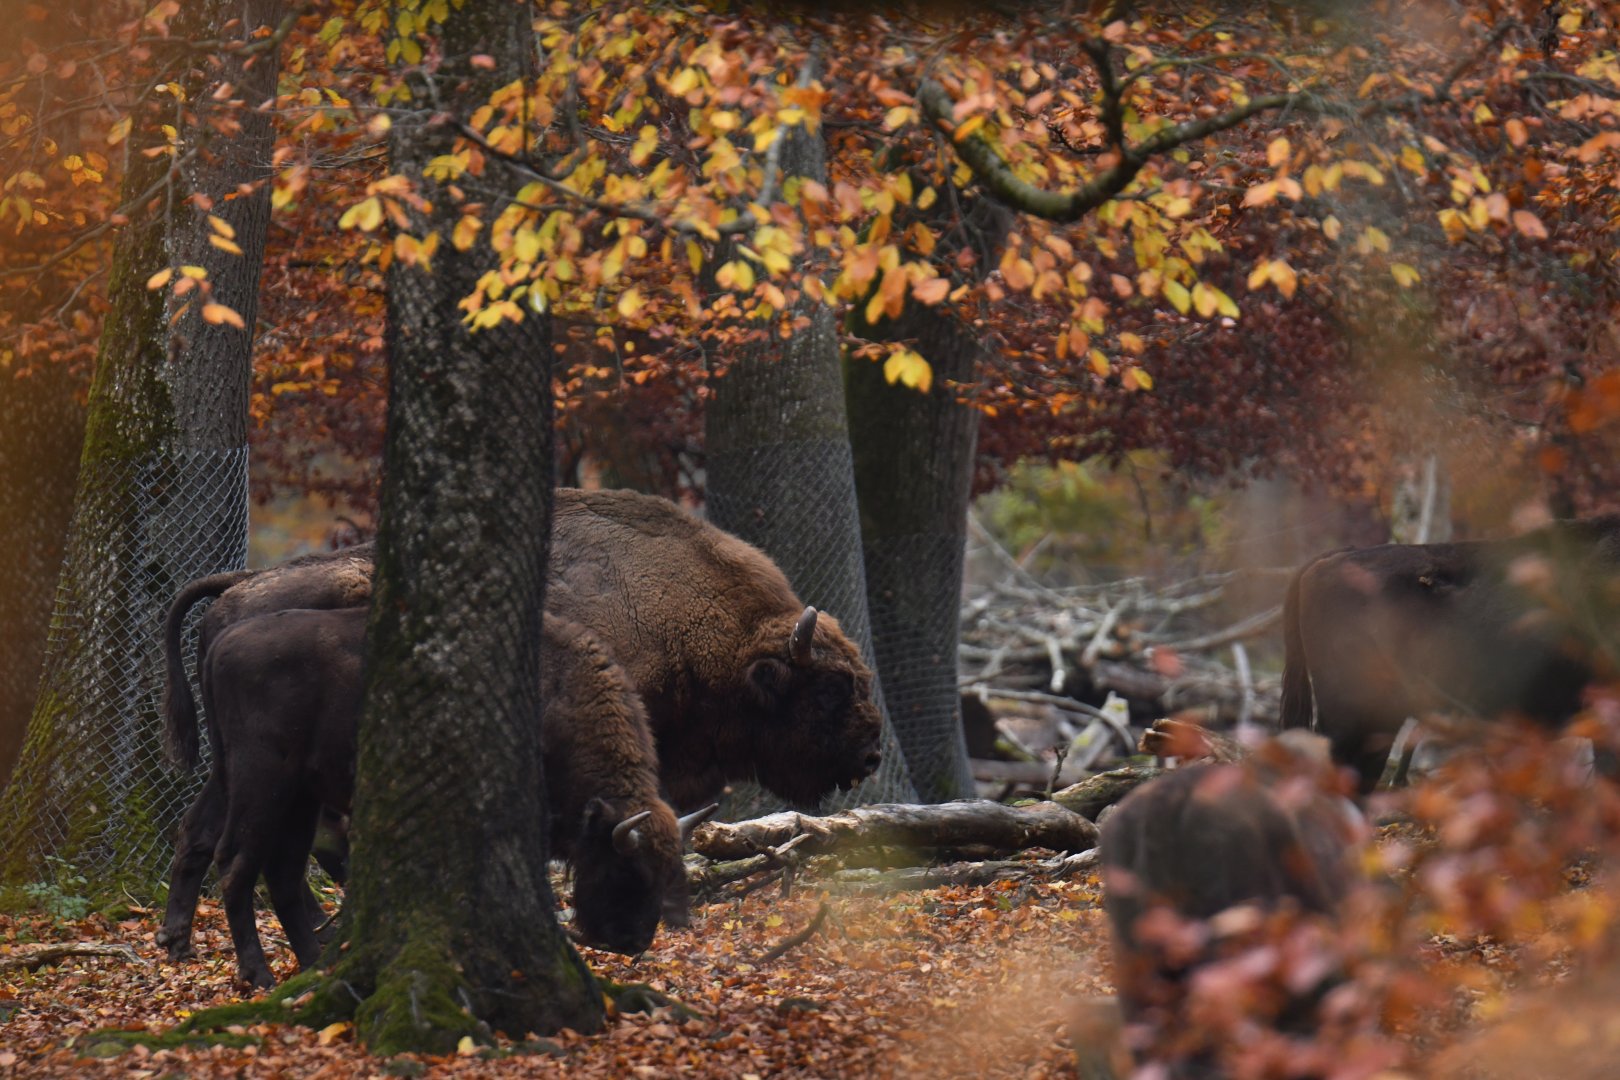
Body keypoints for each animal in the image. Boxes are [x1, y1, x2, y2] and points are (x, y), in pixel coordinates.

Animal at [165, 607, 702, 988]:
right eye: (627, 869)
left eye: (667, 871)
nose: (633, 941)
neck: (561, 698)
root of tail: (221, 645)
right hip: (262, 784)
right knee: (236, 862)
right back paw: (257, 974)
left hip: (281, 791)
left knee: (249, 858)